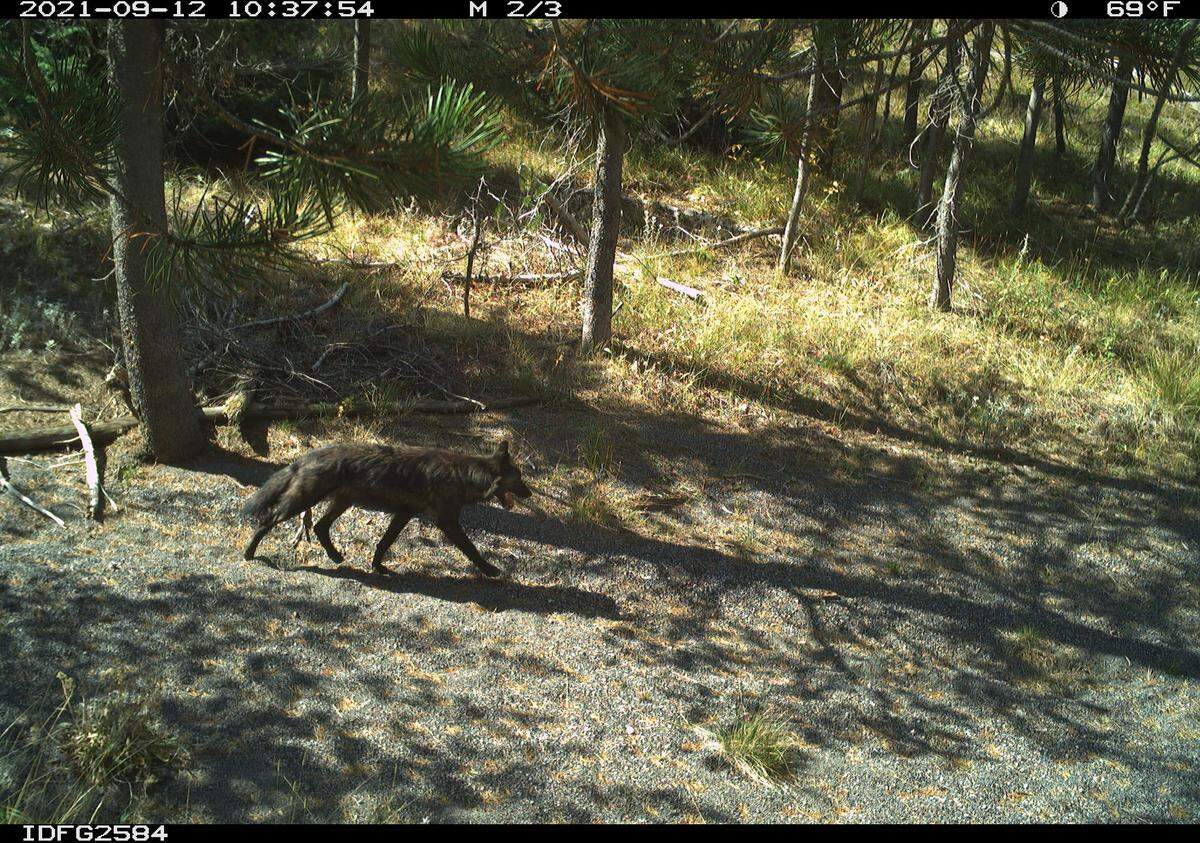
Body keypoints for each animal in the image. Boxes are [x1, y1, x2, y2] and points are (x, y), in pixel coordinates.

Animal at [241, 440, 532, 578]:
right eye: (519, 480)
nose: (529, 493)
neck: (464, 475)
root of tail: (308, 455)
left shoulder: (404, 514)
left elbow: (384, 542)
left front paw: (377, 566)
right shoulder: (447, 522)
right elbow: (471, 549)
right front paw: (490, 569)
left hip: (342, 503)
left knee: (322, 528)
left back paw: (336, 557)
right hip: (302, 502)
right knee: (267, 519)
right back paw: (249, 553)